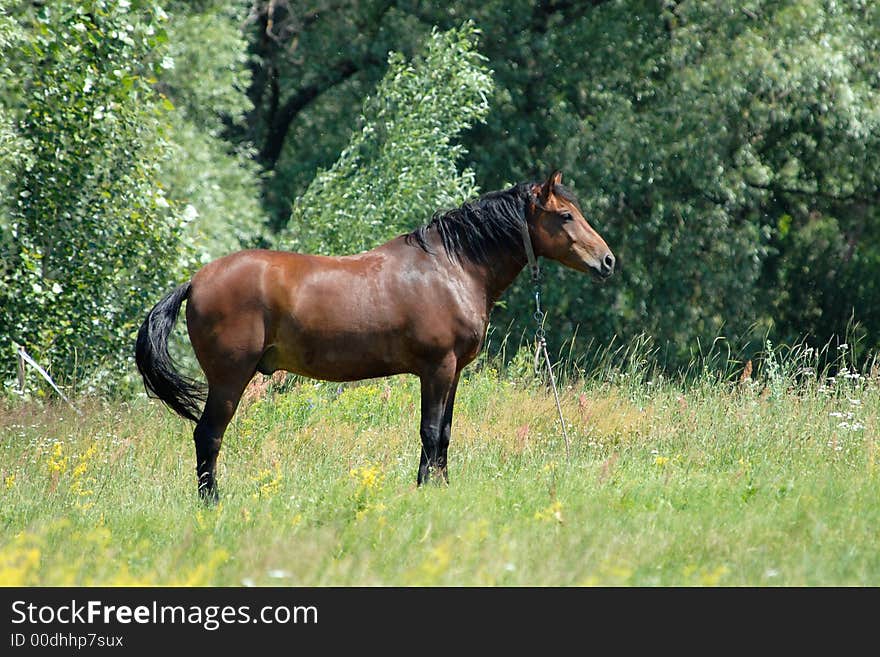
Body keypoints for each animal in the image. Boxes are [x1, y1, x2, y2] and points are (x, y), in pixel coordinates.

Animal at [138, 169, 616, 498]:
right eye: (566, 215)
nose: (608, 261)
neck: (452, 267)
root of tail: (195, 281)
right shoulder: (437, 368)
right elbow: (430, 432)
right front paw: (425, 489)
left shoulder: (454, 372)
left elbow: (444, 433)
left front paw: (441, 487)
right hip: (229, 379)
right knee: (208, 436)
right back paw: (212, 503)